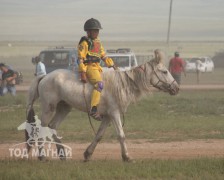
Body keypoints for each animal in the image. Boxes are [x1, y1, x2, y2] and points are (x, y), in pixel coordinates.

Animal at [26, 52, 179, 161]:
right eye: (164, 71)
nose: (176, 88)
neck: (123, 84)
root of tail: (44, 77)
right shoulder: (114, 113)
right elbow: (121, 135)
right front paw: (126, 157)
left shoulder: (107, 116)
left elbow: (99, 135)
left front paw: (87, 154)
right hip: (48, 108)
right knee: (42, 129)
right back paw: (42, 156)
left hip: (64, 108)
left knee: (53, 126)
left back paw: (62, 155)